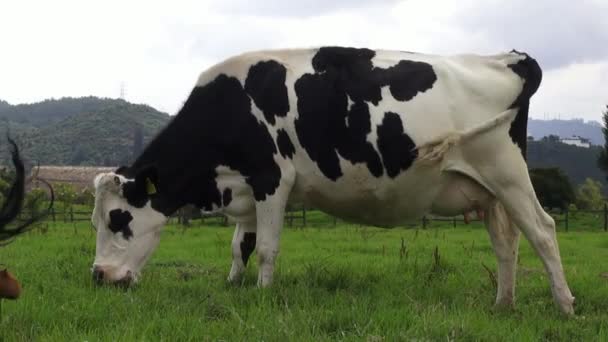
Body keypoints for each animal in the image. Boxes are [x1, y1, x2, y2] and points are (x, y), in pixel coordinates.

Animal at [89, 46, 576, 314]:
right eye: (96, 222)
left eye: (118, 219)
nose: (98, 276)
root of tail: (508, 58)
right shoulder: (245, 188)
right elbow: (240, 245)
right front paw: (232, 285)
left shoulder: (272, 178)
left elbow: (265, 248)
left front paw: (263, 294)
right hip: (490, 189)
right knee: (506, 242)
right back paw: (503, 304)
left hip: (507, 171)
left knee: (543, 230)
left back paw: (565, 306)